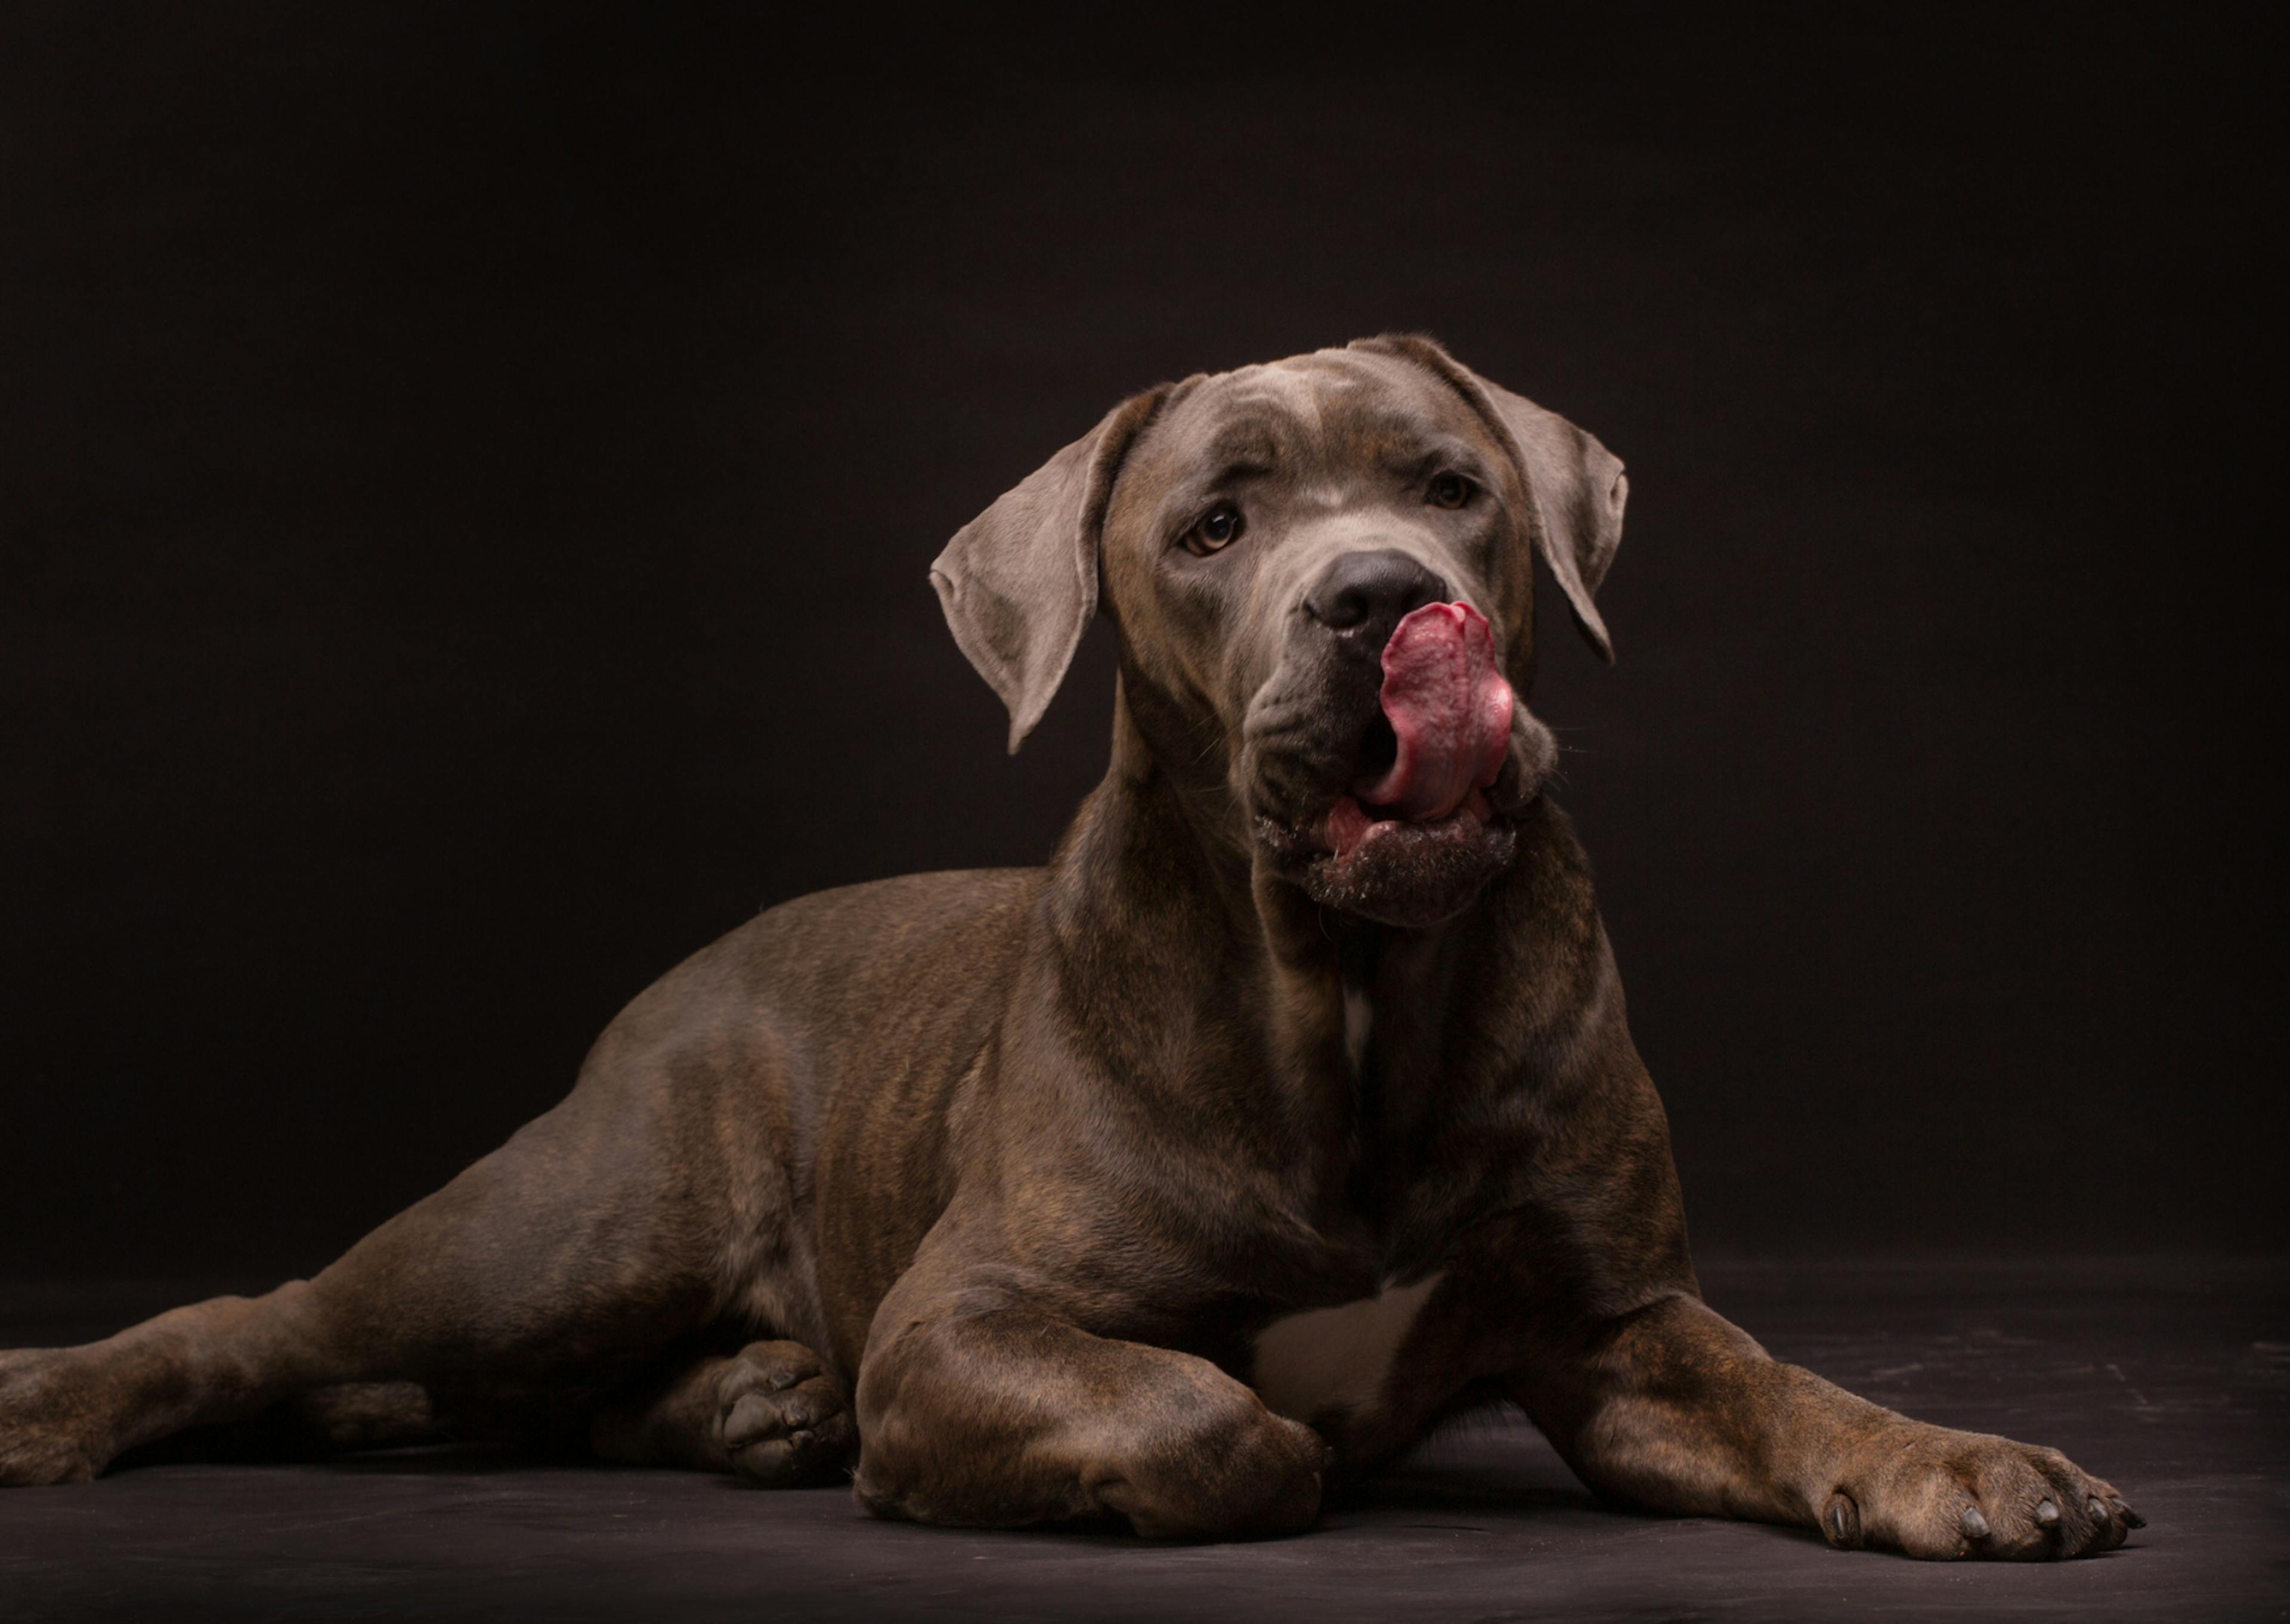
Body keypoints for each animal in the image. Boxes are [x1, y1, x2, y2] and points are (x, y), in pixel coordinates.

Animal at [4, 332, 2143, 1557]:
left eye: (1455, 487)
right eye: (1214, 527)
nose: (1387, 595)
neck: (1344, 991)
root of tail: (687, 970)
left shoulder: (1616, 1325)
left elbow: (1785, 1391)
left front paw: (1963, 1458)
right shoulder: (973, 1319)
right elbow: (1215, 1420)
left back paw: (752, 1403)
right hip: (558, 1233)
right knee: (279, 1318)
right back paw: (58, 1396)